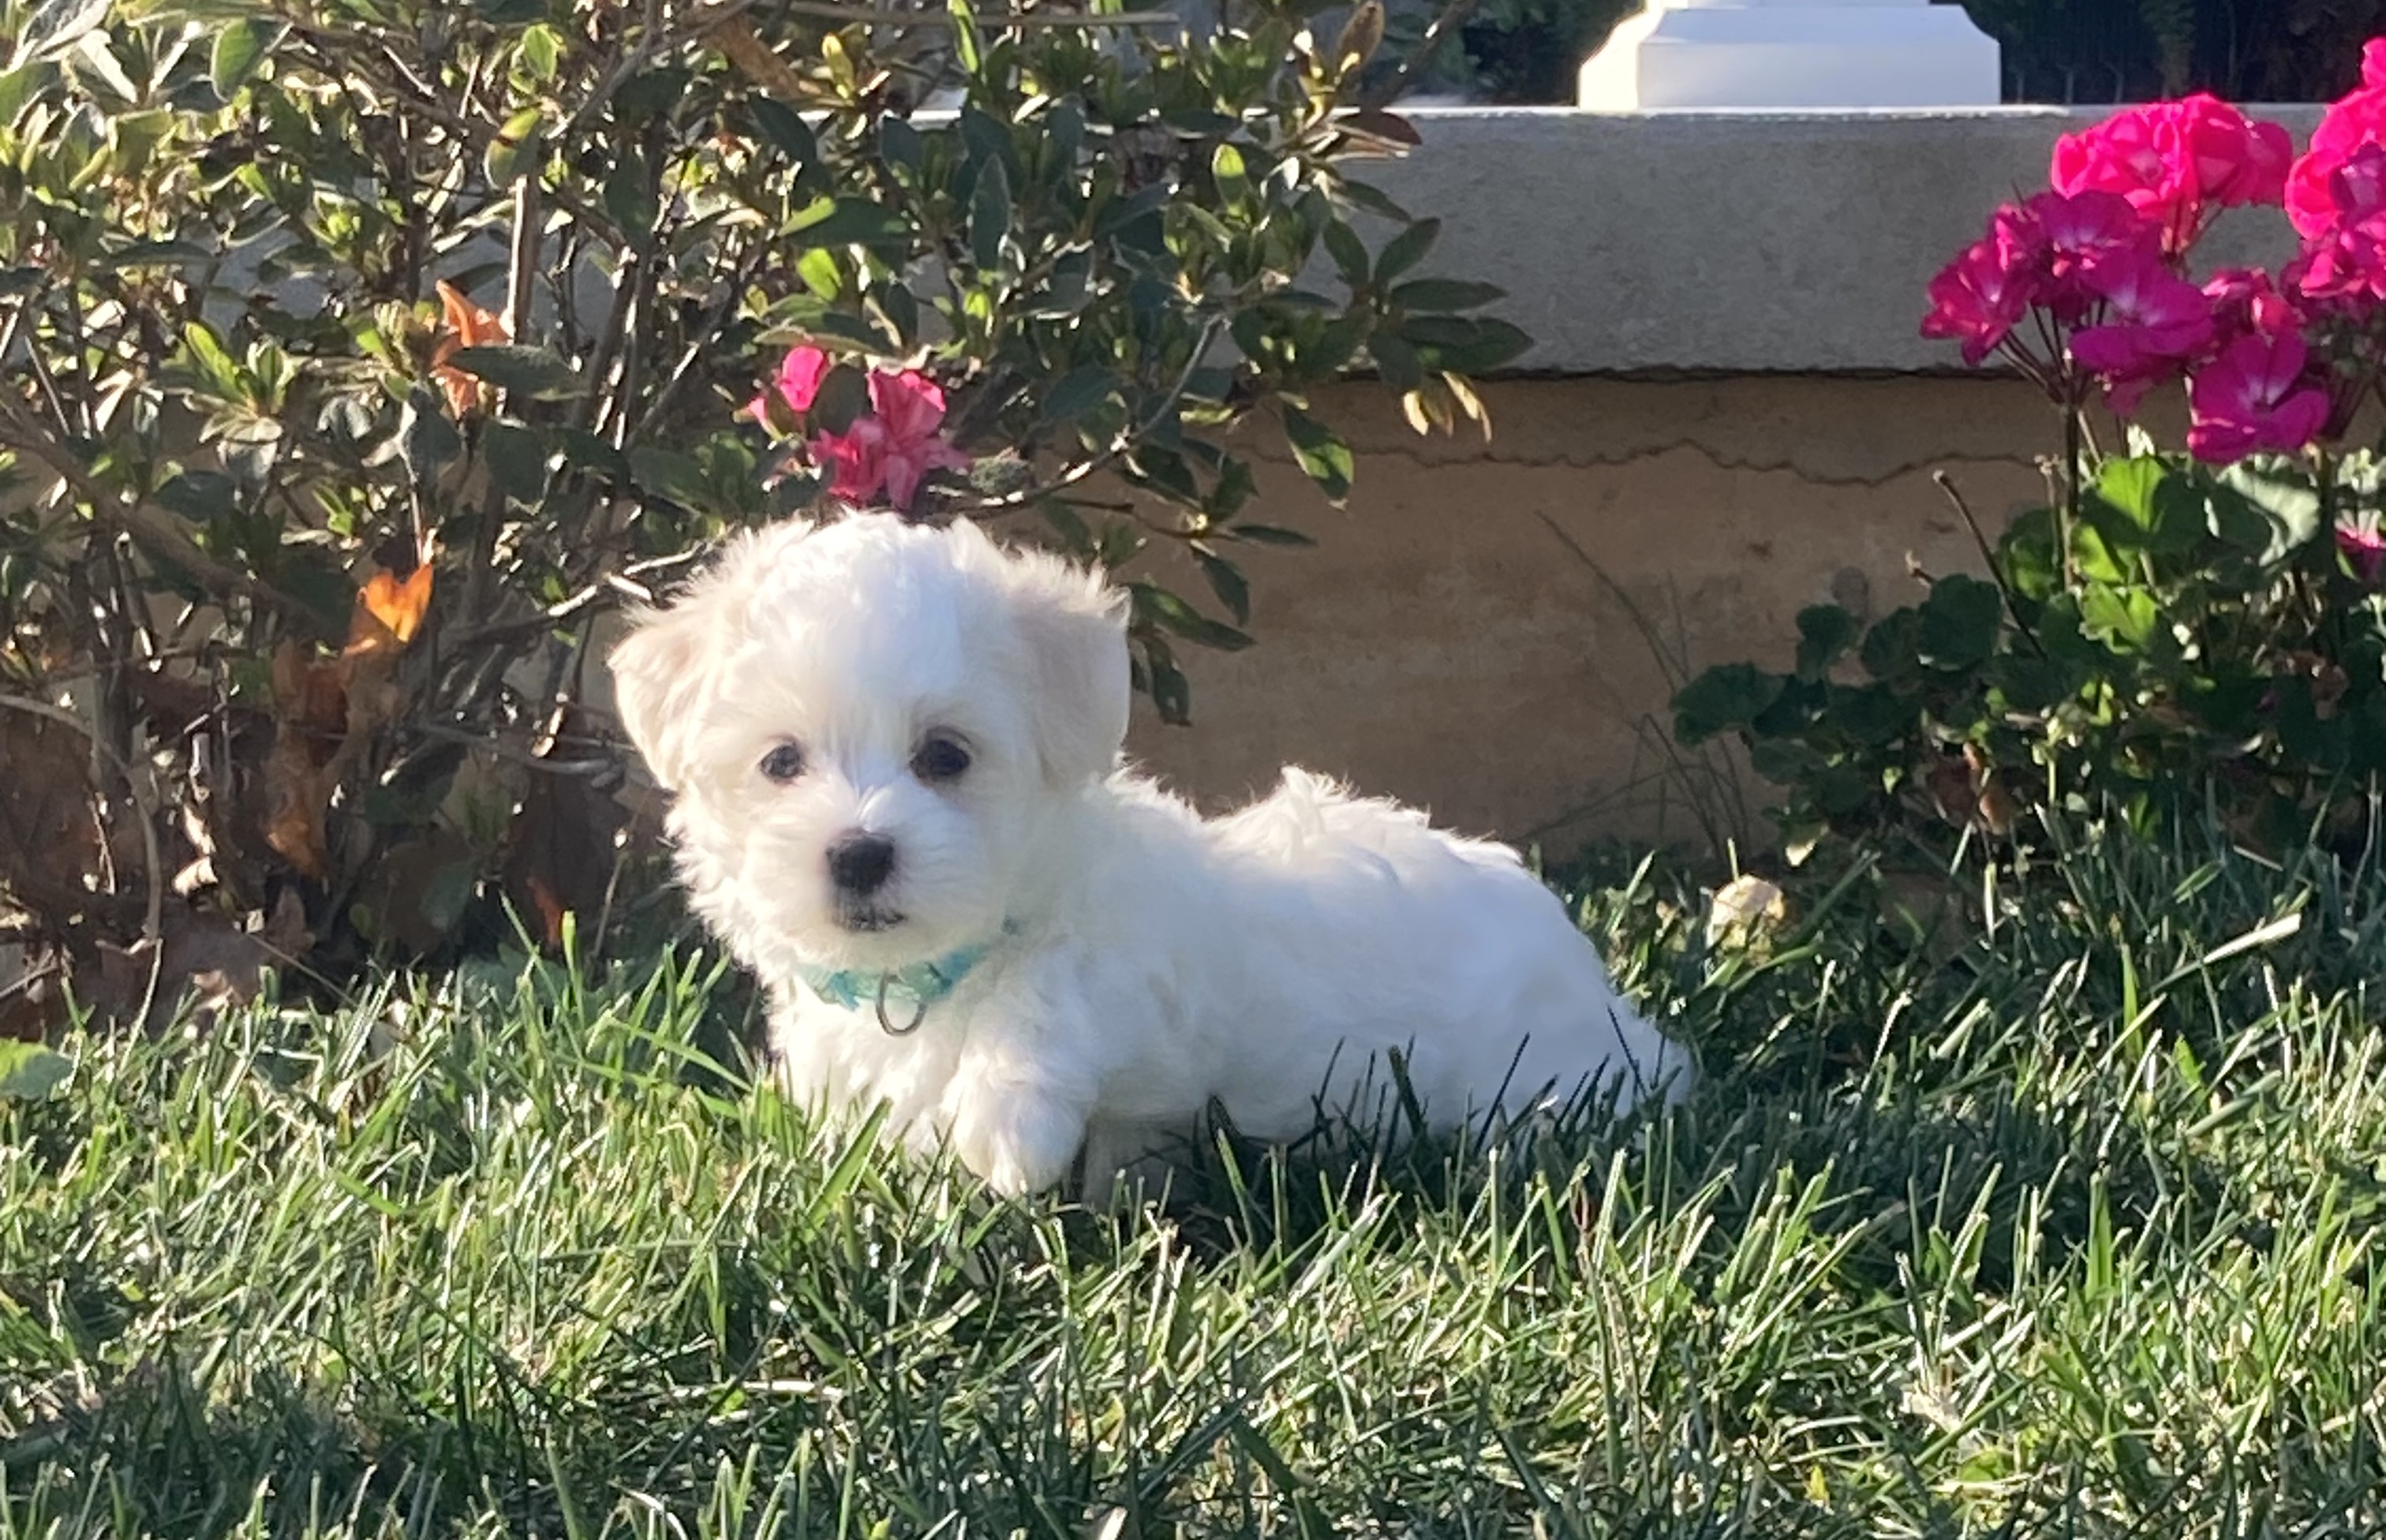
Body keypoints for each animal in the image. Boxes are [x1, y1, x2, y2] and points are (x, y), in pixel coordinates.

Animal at [615, 512, 1699, 1201]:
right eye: (780, 762)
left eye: (945, 756)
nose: (859, 853)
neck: (940, 967)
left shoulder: (1147, 965)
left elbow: (1057, 985)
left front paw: (1008, 1131)